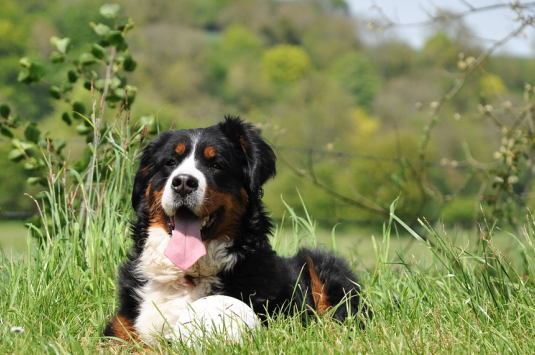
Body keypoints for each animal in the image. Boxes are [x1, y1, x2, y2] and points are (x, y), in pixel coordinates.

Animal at [105, 118, 372, 344]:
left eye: (216, 164)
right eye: (170, 162)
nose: (183, 183)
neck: (188, 276)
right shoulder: (121, 328)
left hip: (321, 264)